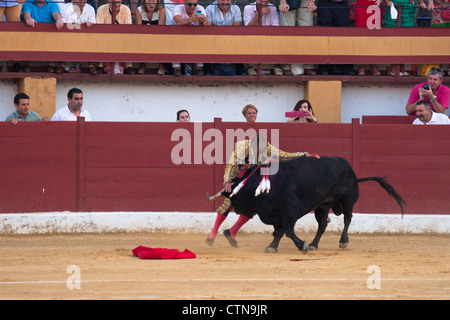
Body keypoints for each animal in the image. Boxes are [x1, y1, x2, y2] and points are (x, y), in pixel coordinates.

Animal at [210, 156, 404, 254]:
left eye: (236, 198)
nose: (238, 211)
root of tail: (351, 170)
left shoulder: (290, 211)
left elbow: (288, 231)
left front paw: (300, 245)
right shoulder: (276, 215)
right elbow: (279, 231)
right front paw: (272, 246)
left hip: (348, 198)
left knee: (348, 218)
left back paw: (343, 241)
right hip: (322, 205)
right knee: (323, 224)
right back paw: (314, 244)